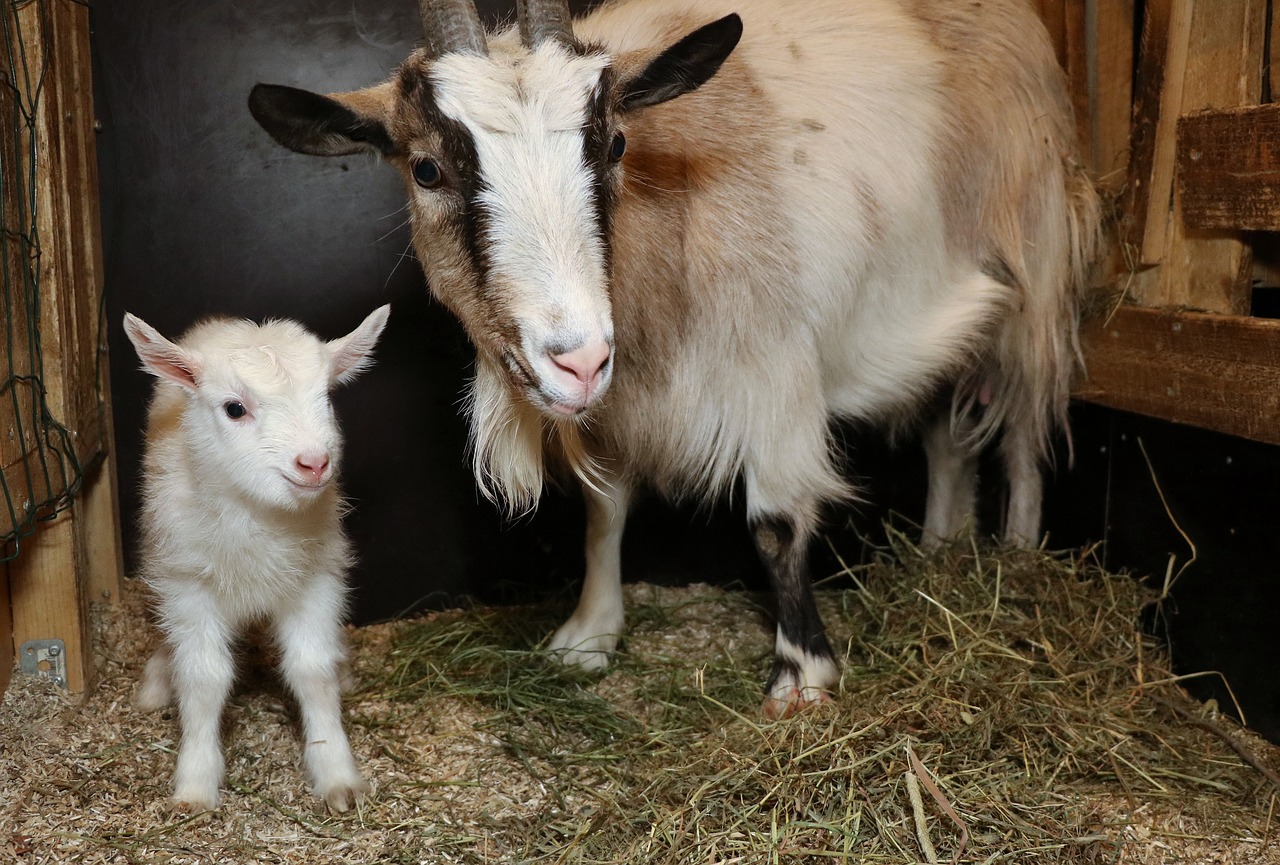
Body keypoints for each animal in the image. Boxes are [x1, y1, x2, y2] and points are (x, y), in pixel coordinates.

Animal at [129, 304, 391, 808]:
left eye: (326, 399)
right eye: (235, 408)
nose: (314, 463)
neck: (259, 517)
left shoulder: (316, 579)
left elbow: (312, 671)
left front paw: (337, 775)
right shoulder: (188, 586)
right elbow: (204, 678)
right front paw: (195, 784)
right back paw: (156, 681)